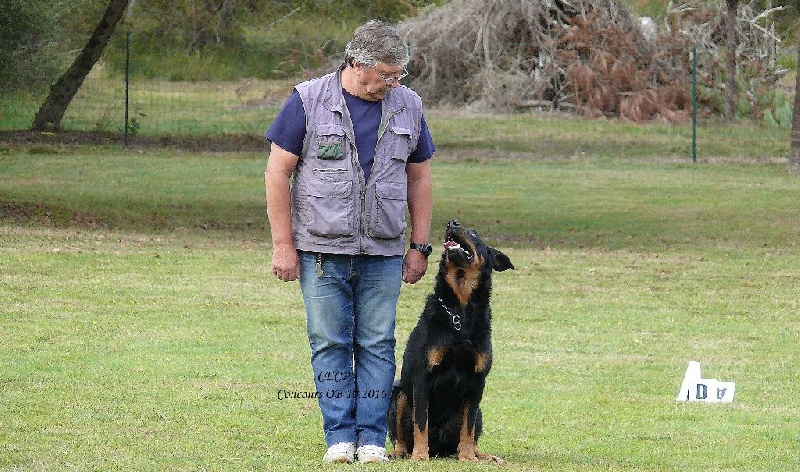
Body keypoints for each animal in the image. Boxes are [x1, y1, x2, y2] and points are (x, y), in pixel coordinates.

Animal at [388, 220, 512, 460]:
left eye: (474, 233)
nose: (452, 223)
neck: (459, 312)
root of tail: (439, 449)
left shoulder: (477, 382)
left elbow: (468, 427)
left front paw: (468, 457)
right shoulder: (421, 378)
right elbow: (421, 423)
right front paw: (420, 455)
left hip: (479, 411)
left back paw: (481, 455)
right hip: (398, 394)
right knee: (401, 437)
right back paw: (401, 453)